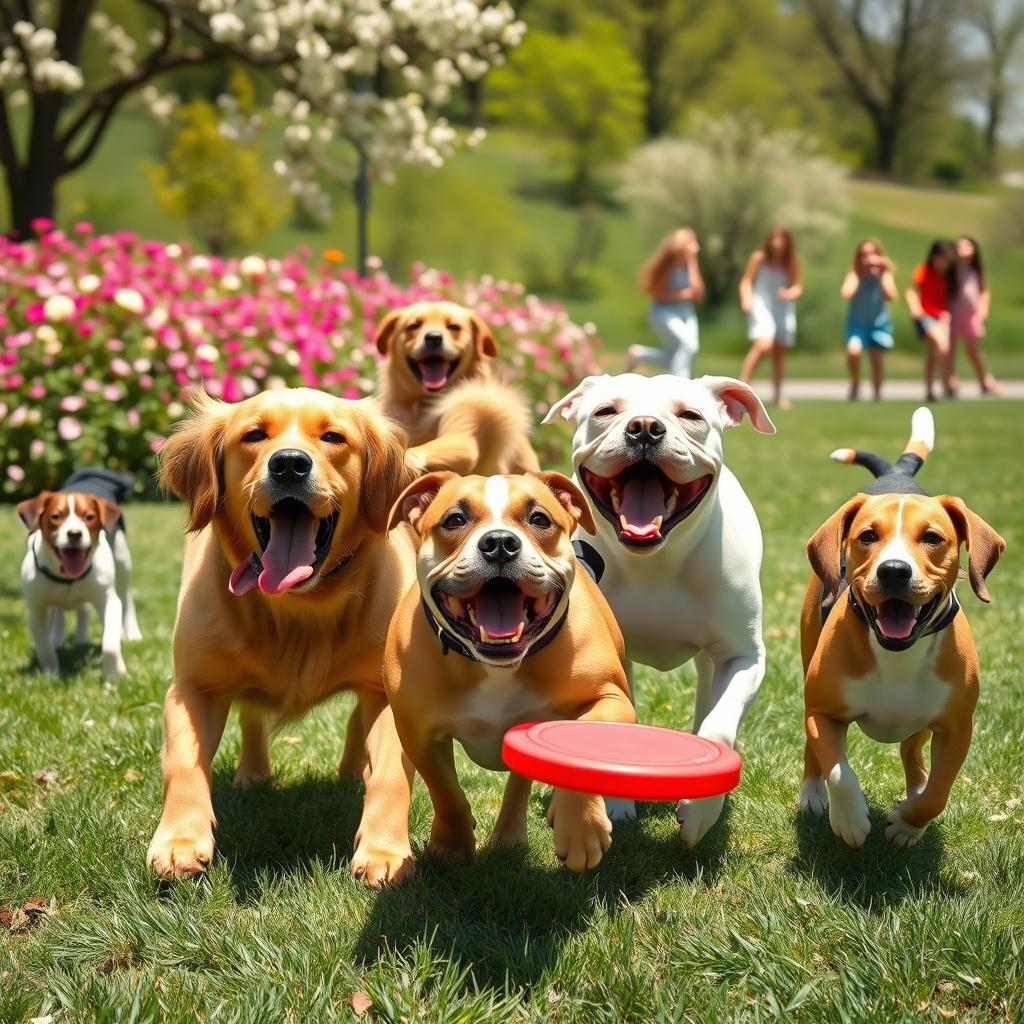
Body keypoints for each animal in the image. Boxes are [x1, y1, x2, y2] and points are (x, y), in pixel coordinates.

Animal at [147, 387, 415, 884]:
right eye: (254, 435)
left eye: (332, 437)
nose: (289, 464)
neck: (298, 608)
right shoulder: (193, 688)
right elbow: (184, 765)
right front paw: (179, 841)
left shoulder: (389, 692)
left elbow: (390, 771)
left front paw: (384, 850)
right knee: (252, 716)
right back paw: (253, 773)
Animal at [385, 471, 630, 872]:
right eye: (455, 519)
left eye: (539, 519)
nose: (499, 543)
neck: (495, 666)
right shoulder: (416, 731)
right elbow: (445, 791)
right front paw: (451, 845)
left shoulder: (611, 699)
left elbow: (581, 738)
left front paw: (579, 828)